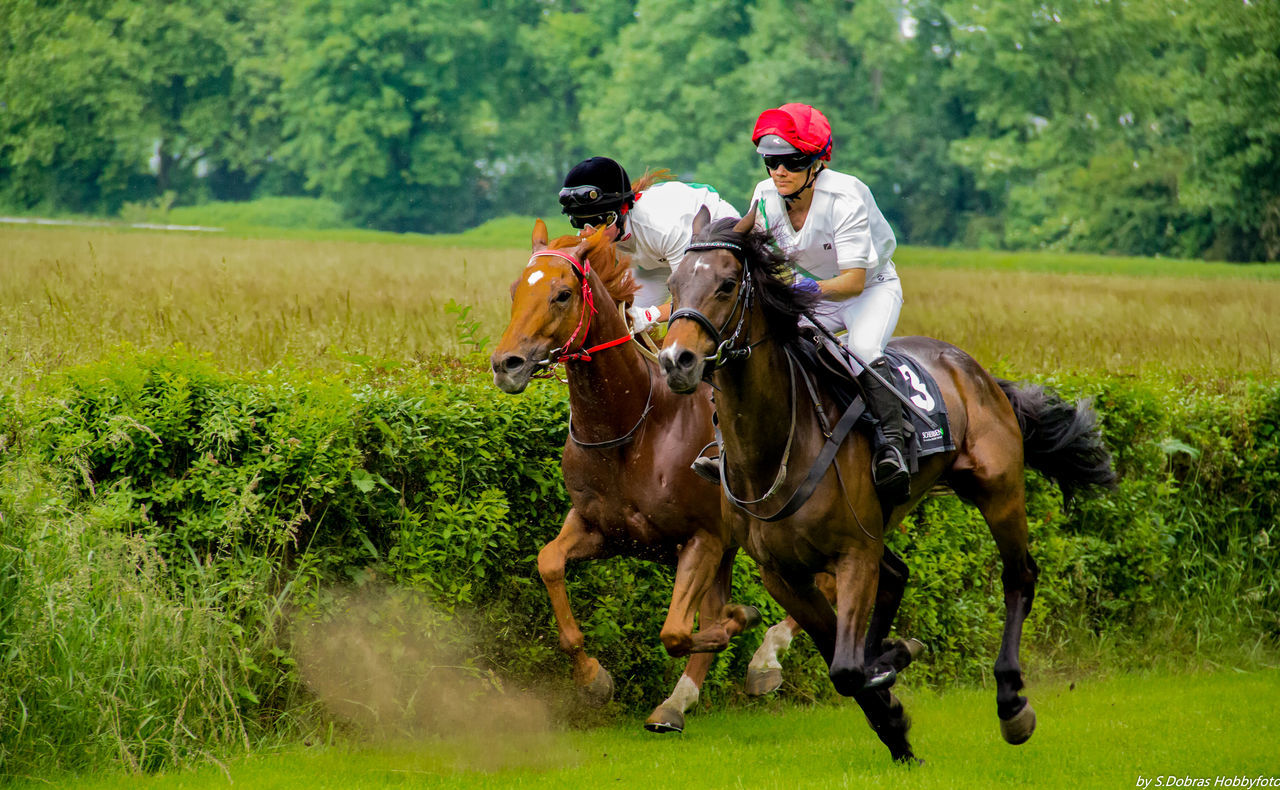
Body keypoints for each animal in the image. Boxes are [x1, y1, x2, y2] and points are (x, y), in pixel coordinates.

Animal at [488, 221, 773, 732]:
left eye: (562, 294)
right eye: (516, 289)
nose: (506, 365)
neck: (630, 428)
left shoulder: (702, 538)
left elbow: (681, 630)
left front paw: (741, 618)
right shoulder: (603, 529)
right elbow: (549, 563)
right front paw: (592, 679)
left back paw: (765, 663)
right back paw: (677, 703)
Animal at [655, 212, 1116, 763]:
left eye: (726, 284)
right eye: (674, 283)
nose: (676, 361)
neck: (776, 447)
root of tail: (977, 371)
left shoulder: (853, 552)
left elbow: (846, 668)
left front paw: (889, 683)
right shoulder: (782, 573)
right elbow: (838, 657)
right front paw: (893, 715)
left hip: (997, 490)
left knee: (1019, 576)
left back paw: (1011, 703)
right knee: (898, 576)